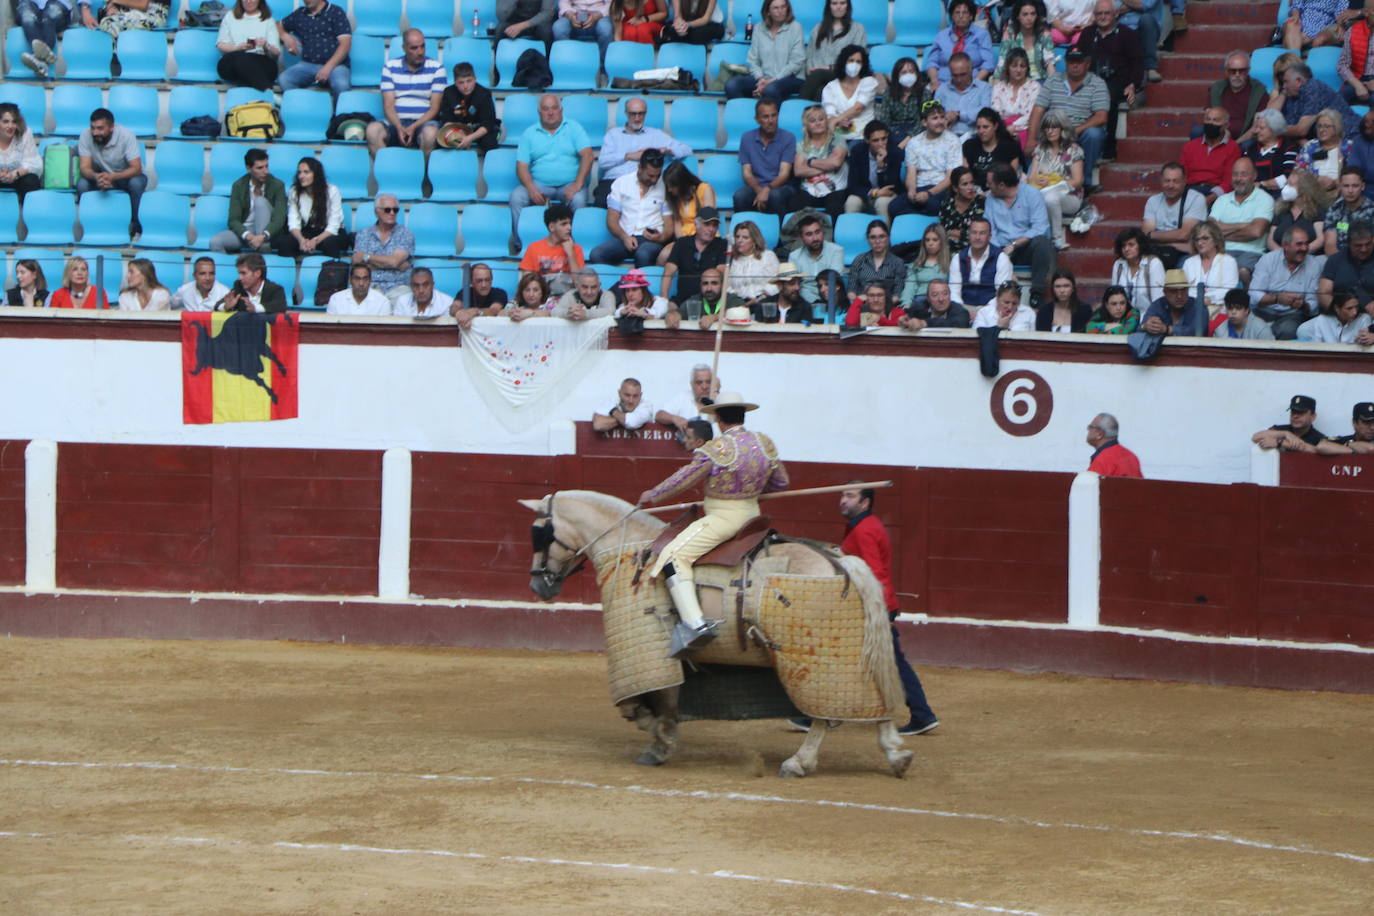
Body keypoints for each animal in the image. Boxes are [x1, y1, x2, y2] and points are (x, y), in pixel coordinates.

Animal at [519, 491, 917, 780]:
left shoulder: (654, 655)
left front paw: (659, 741)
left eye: (539, 533)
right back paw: (896, 754)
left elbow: (650, 702)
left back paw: (798, 763)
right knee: (874, 694)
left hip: (814, 657)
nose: (538, 584)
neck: (628, 546)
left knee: (825, 712)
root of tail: (839, 561)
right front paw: (660, 736)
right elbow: (665, 699)